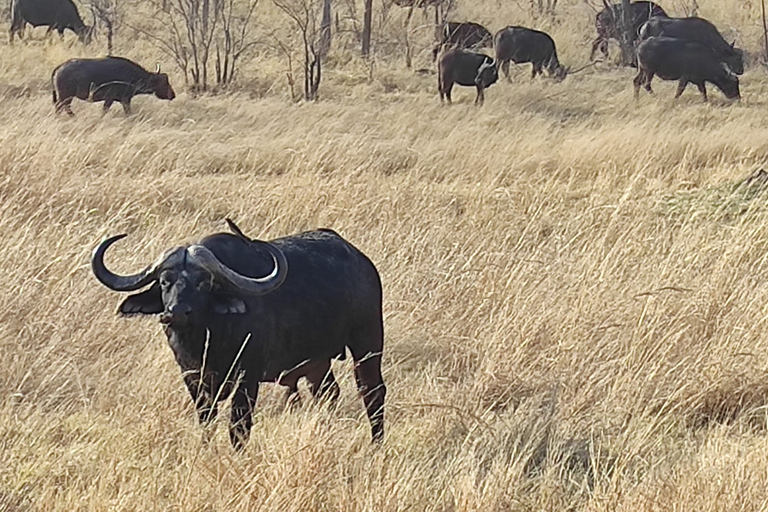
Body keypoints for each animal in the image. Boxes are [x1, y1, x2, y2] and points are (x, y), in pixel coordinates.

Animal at [92, 219, 388, 448]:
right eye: (165, 282)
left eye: (204, 282)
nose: (176, 312)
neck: (208, 341)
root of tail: (362, 263)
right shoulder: (193, 379)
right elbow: (206, 421)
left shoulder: (247, 378)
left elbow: (239, 427)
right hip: (317, 362)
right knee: (328, 394)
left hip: (367, 343)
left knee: (372, 392)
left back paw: (376, 444)